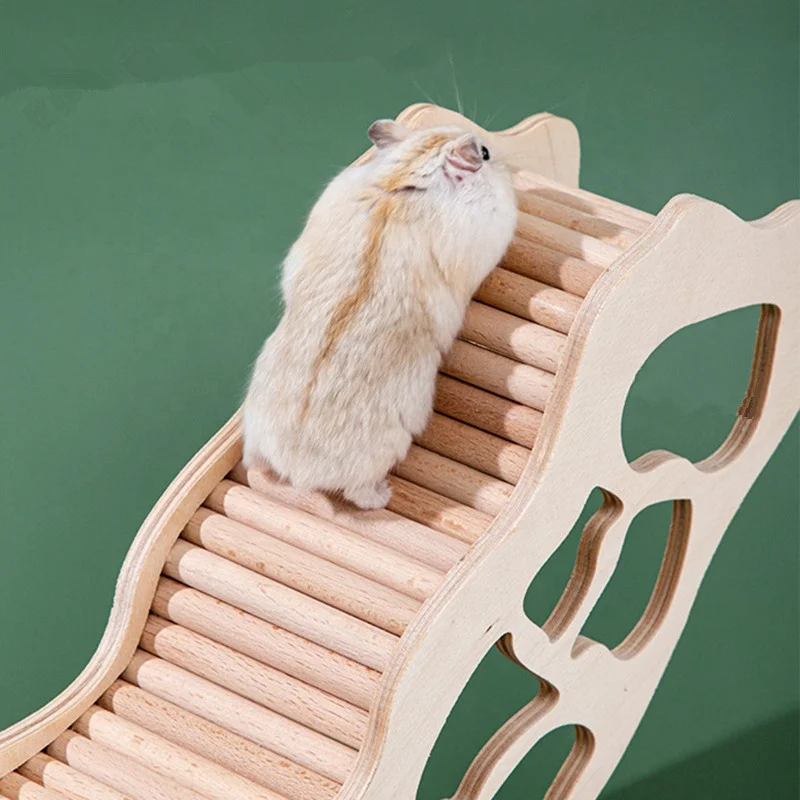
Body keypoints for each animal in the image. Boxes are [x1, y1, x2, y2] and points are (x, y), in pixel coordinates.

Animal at [242, 118, 518, 509]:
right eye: (486, 152)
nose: (497, 152)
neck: (407, 174)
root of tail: (297, 471)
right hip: (379, 457)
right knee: (357, 493)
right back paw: (384, 495)